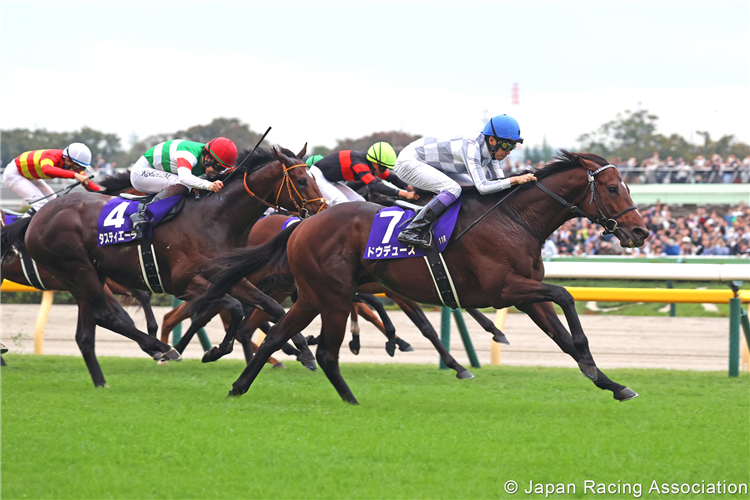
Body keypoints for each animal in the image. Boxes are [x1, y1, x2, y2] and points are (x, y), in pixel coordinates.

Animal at [1, 145, 328, 386]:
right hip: (78, 269)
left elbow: (271, 307)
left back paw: (103, 380)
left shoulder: (230, 276)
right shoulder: (184, 284)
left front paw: (304, 352)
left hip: (82, 277)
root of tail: (36, 218)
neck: (215, 218)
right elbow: (234, 308)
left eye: (314, 178)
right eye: (302, 181)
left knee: (88, 330)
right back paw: (161, 349)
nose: (322, 211)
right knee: (106, 315)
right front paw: (214, 351)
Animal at [197, 150, 648, 404]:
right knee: (323, 350)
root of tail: (303, 223)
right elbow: (566, 296)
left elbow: (562, 337)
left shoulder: (524, 296)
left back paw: (240, 386)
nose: (641, 231)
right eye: (612, 188)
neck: (513, 219)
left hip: (310, 294)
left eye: (626, 186)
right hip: (333, 296)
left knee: (275, 334)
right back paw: (350, 398)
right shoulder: (504, 289)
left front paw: (611, 383)